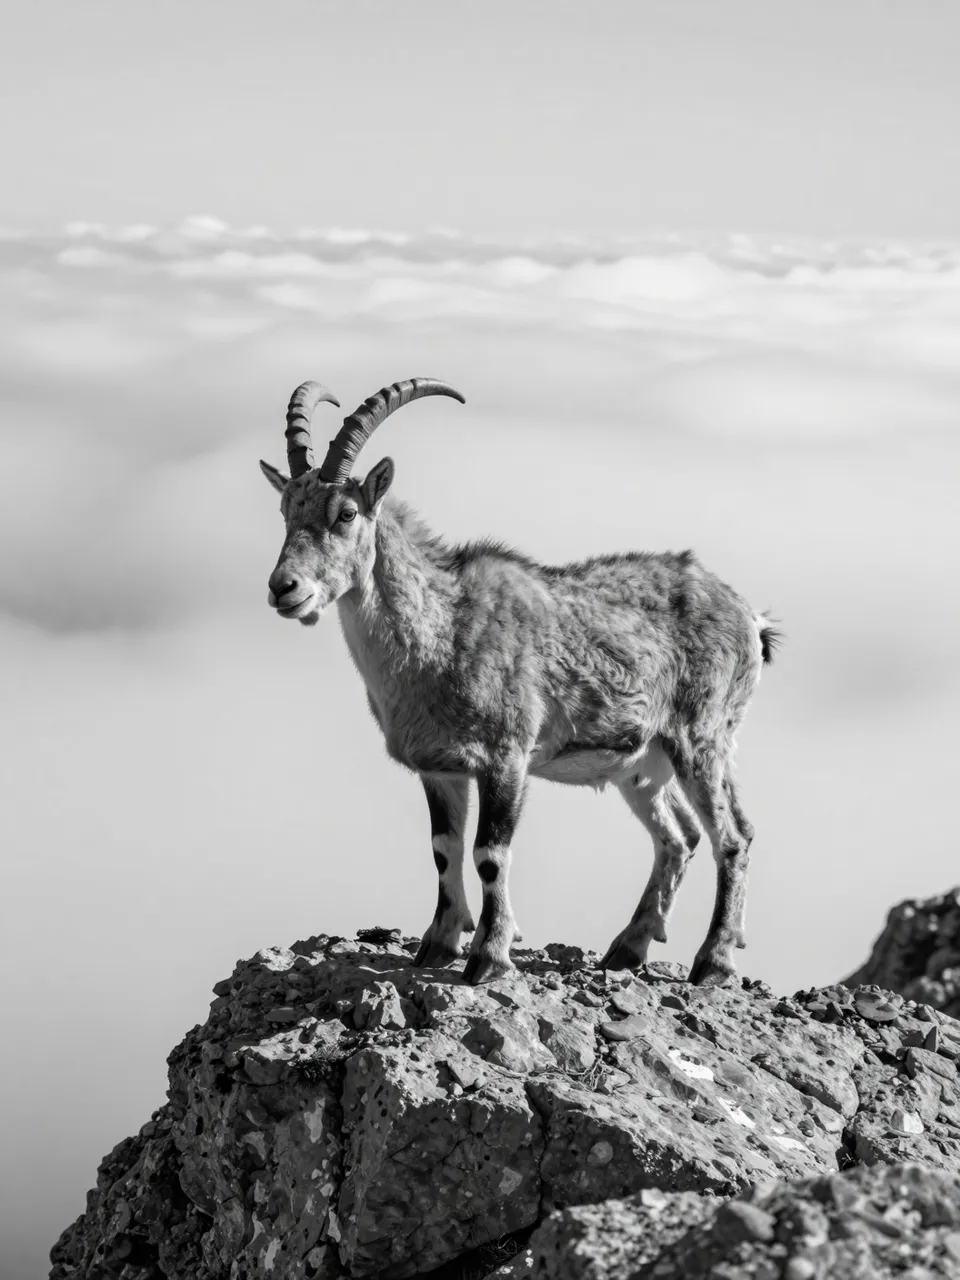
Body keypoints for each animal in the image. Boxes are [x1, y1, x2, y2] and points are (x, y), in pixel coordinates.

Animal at [260, 378, 780, 985]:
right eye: (285, 510)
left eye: (345, 513)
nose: (284, 587)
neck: (442, 630)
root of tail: (750, 617)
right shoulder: (440, 768)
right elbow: (443, 848)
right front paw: (438, 943)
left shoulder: (506, 756)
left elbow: (490, 853)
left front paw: (489, 955)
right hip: (642, 763)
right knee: (679, 837)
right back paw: (628, 946)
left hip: (704, 738)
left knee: (733, 837)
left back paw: (713, 959)